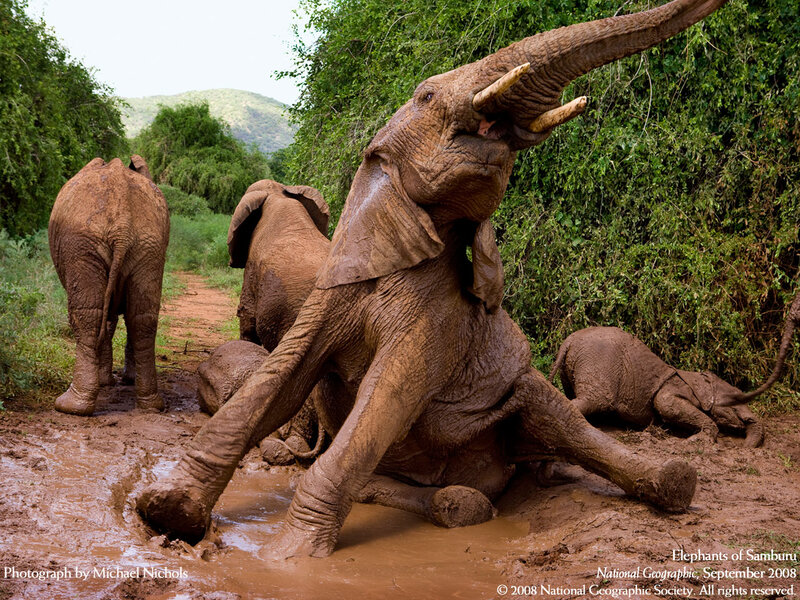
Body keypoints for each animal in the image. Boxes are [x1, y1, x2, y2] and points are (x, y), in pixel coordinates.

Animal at [49, 155, 169, 416]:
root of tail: (122, 226)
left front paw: (106, 383)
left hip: (81, 243)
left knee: (88, 315)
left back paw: (70, 407)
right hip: (149, 245)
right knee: (142, 317)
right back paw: (151, 405)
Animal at [137, 0, 730, 558]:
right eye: (424, 96)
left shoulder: (440, 323)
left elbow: (388, 395)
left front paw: (288, 557)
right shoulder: (335, 286)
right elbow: (281, 378)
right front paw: (165, 513)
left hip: (525, 391)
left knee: (562, 422)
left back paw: (670, 481)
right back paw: (460, 501)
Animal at [548, 327, 765, 447]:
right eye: (735, 402)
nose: (744, 448)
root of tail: (568, 341)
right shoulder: (671, 389)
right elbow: (665, 404)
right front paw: (696, 441)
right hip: (599, 362)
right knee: (596, 400)